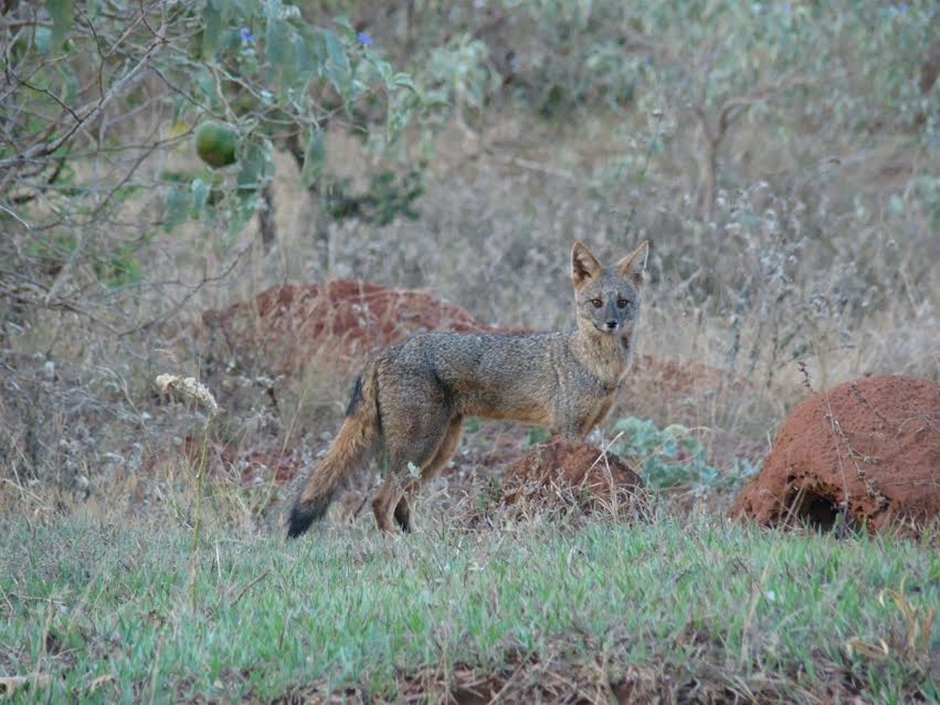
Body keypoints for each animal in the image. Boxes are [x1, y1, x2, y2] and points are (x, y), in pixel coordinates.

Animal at [290, 239, 648, 536]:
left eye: (623, 302)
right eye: (596, 302)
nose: (611, 323)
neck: (598, 365)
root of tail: (385, 351)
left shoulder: (584, 430)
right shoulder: (567, 429)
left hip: (439, 450)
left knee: (403, 503)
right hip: (420, 447)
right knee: (381, 500)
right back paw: (394, 545)